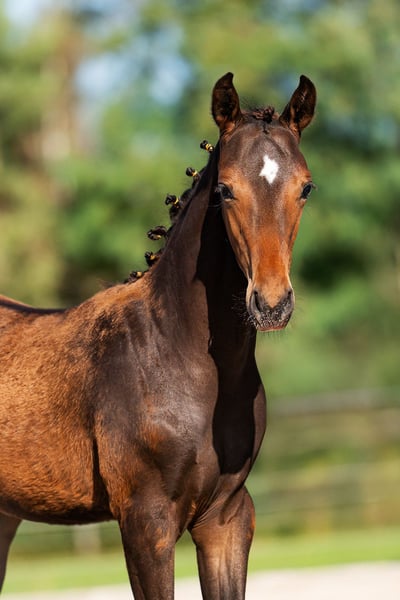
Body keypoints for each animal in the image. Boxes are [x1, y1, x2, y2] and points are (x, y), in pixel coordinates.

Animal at [0, 72, 316, 599]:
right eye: (225, 189)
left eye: (306, 187)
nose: (271, 304)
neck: (176, 354)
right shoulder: (145, 522)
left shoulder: (226, 520)